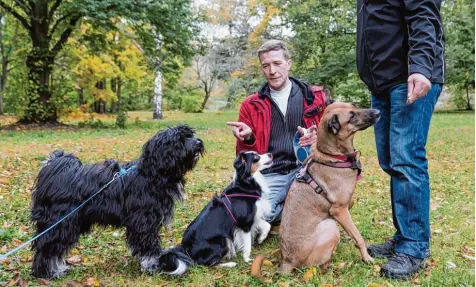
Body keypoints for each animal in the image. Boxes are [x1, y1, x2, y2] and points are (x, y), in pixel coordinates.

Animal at [29, 124, 205, 280]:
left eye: (190, 135)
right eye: (180, 139)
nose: (198, 142)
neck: (152, 174)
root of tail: (52, 169)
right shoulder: (144, 222)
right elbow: (148, 247)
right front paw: (153, 266)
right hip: (61, 222)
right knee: (48, 248)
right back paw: (48, 273)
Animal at [278, 102, 380, 274]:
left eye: (355, 107)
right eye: (351, 116)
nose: (378, 112)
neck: (333, 156)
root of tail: (287, 261)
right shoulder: (339, 210)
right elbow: (358, 237)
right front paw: (366, 257)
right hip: (330, 226)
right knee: (315, 266)